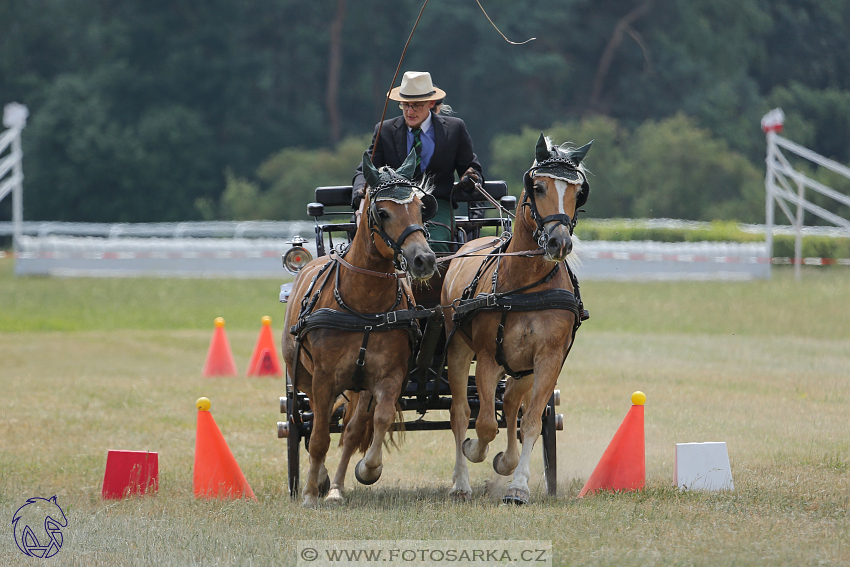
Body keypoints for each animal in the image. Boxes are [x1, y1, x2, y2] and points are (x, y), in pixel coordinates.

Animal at [282, 150, 438, 506]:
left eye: (420, 208)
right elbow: (320, 436)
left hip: (359, 384)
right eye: (382, 212)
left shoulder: (388, 375)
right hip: (305, 377)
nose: (424, 260)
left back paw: (336, 488)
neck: (364, 307)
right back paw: (319, 480)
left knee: (352, 430)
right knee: (314, 423)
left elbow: (375, 421)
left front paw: (367, 469)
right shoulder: (324, 379)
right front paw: (310, 492)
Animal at [438, 134, 588, 506]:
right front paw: (475, 451)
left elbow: (531, 420)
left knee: (509, 405)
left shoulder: (547, 359)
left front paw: (517, 484)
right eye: (538, 186)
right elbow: (484, 424)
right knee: (460, 413)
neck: (527, 284)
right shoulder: (489, 358)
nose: (559, 242)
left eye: (579, 192)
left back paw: (505, 461)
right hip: (458, 349)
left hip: (522, 369)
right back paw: (461, 481)